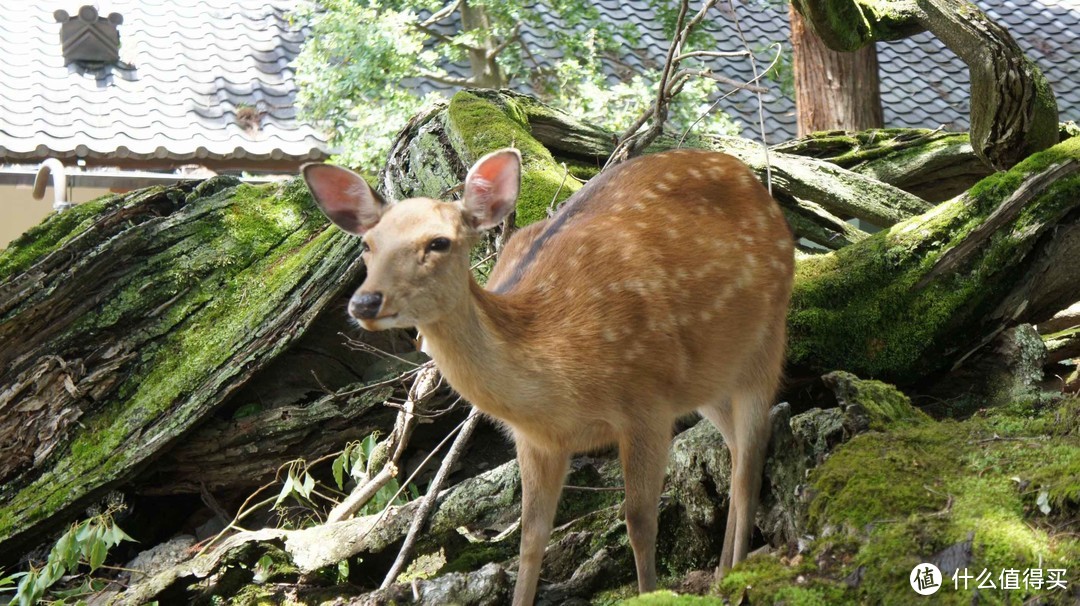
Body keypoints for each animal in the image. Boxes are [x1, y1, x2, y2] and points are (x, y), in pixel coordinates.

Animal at [302, 147, 794, 604]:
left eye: (439, 242)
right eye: (367, 245)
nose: (364, 302)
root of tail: (754, 181)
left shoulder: (647, 401)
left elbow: (639, 520)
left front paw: (649, 592)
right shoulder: (535, 439)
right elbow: (530, 539)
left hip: (768, 332)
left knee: (752, 454)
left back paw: (740, 574)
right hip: (706, 376)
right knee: (735, 447)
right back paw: (723, 570)